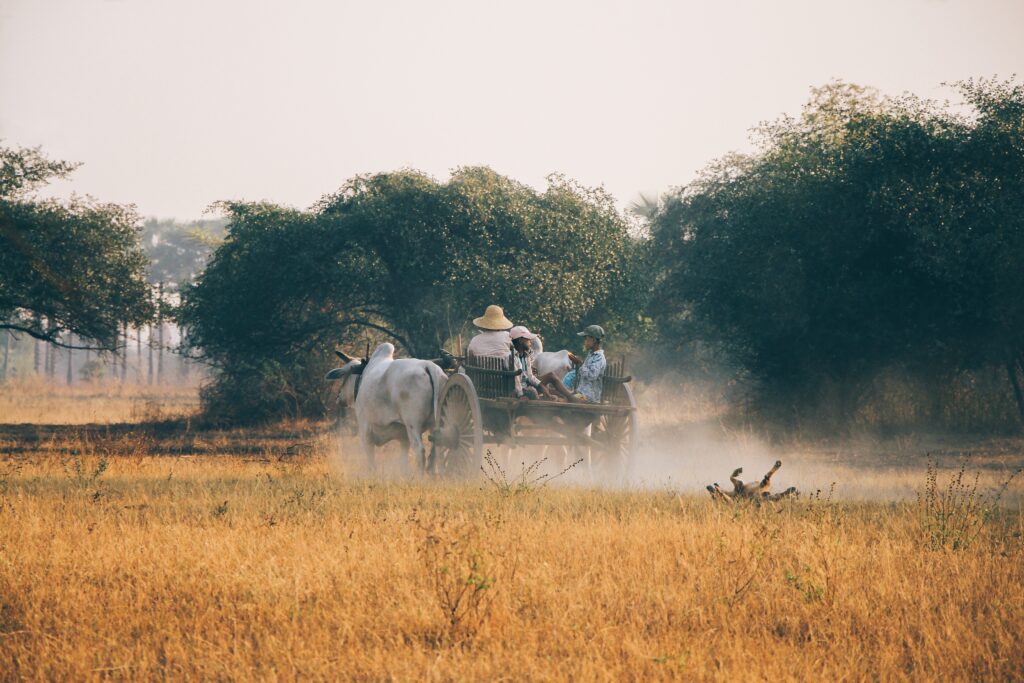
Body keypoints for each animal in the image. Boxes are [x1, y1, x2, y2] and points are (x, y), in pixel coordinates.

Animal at [325, 342, 447, 473]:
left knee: (420, 450)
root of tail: (428, 366)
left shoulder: (365, 430)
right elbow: (403, 461)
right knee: (439, 450)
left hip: (413, 424)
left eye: (345, 377)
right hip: (437, 424)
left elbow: (371, 461)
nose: (338, 397)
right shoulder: (403, 438)